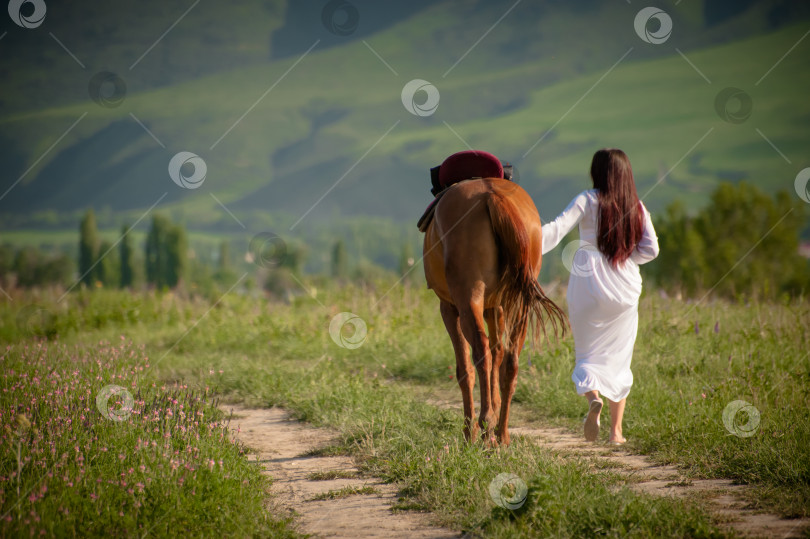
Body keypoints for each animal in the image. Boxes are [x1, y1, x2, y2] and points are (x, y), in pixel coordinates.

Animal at [422, 179, 568, 446]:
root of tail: (491, 194)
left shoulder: (448, 308)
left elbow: (465, 368)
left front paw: (469, 433)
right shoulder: (496, 307)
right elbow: (498, 353)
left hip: (468, 300)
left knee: (480, 353)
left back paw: (485, 426)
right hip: (520, 304)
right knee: (510, 361)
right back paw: (502, 434)